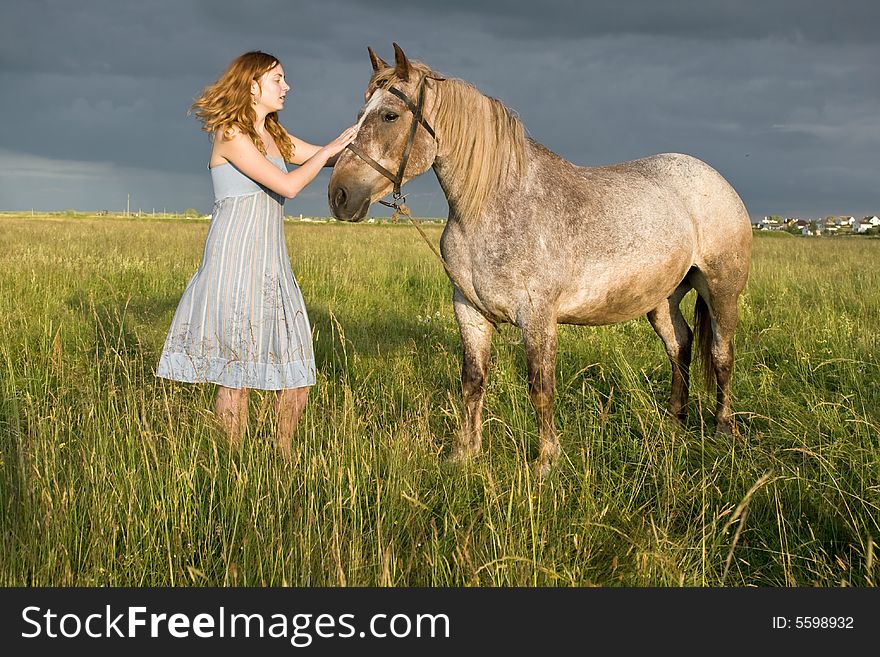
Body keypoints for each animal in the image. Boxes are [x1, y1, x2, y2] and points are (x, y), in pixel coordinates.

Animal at [326, 44, 752, 476]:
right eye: (360, 115)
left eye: (390, 116)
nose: (339, 195)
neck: (492, 208)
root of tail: (715, 179)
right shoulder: (469, 312)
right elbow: (472, 382)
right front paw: (464, 453)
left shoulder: (537, 317)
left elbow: (540, 388)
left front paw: (546, 460)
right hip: (662, 299)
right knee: (679, 345)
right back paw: (674, 422)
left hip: (721, 290)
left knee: (721, 355)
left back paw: (723, 428)